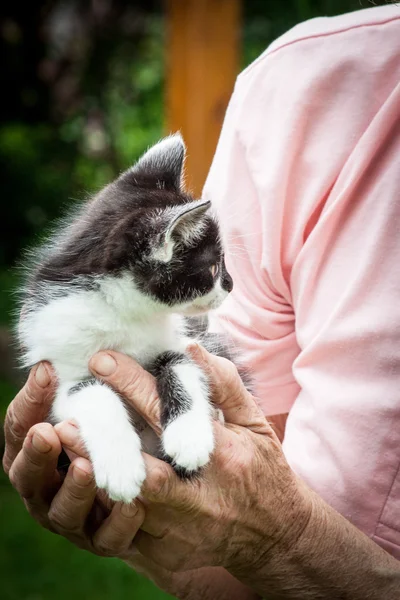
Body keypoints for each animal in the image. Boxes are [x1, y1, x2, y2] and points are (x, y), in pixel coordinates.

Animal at [18, 134, 236, 504]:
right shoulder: (61, 368)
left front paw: (189, 437)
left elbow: (181, 364)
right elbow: (93, 393)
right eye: (212, 268)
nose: (231, 285)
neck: (125, 313)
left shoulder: (182, 342)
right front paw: (121, 468)